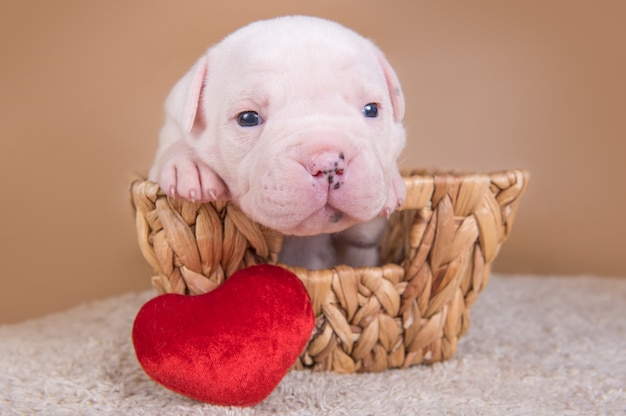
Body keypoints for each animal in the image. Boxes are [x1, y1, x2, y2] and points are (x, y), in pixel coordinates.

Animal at [149, 15, 408, 270]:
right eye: (248, 118)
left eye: (371, 109)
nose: (327, 162)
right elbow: (171, 149)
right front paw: (189, 165)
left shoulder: (365, 244)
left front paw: (392, 184)